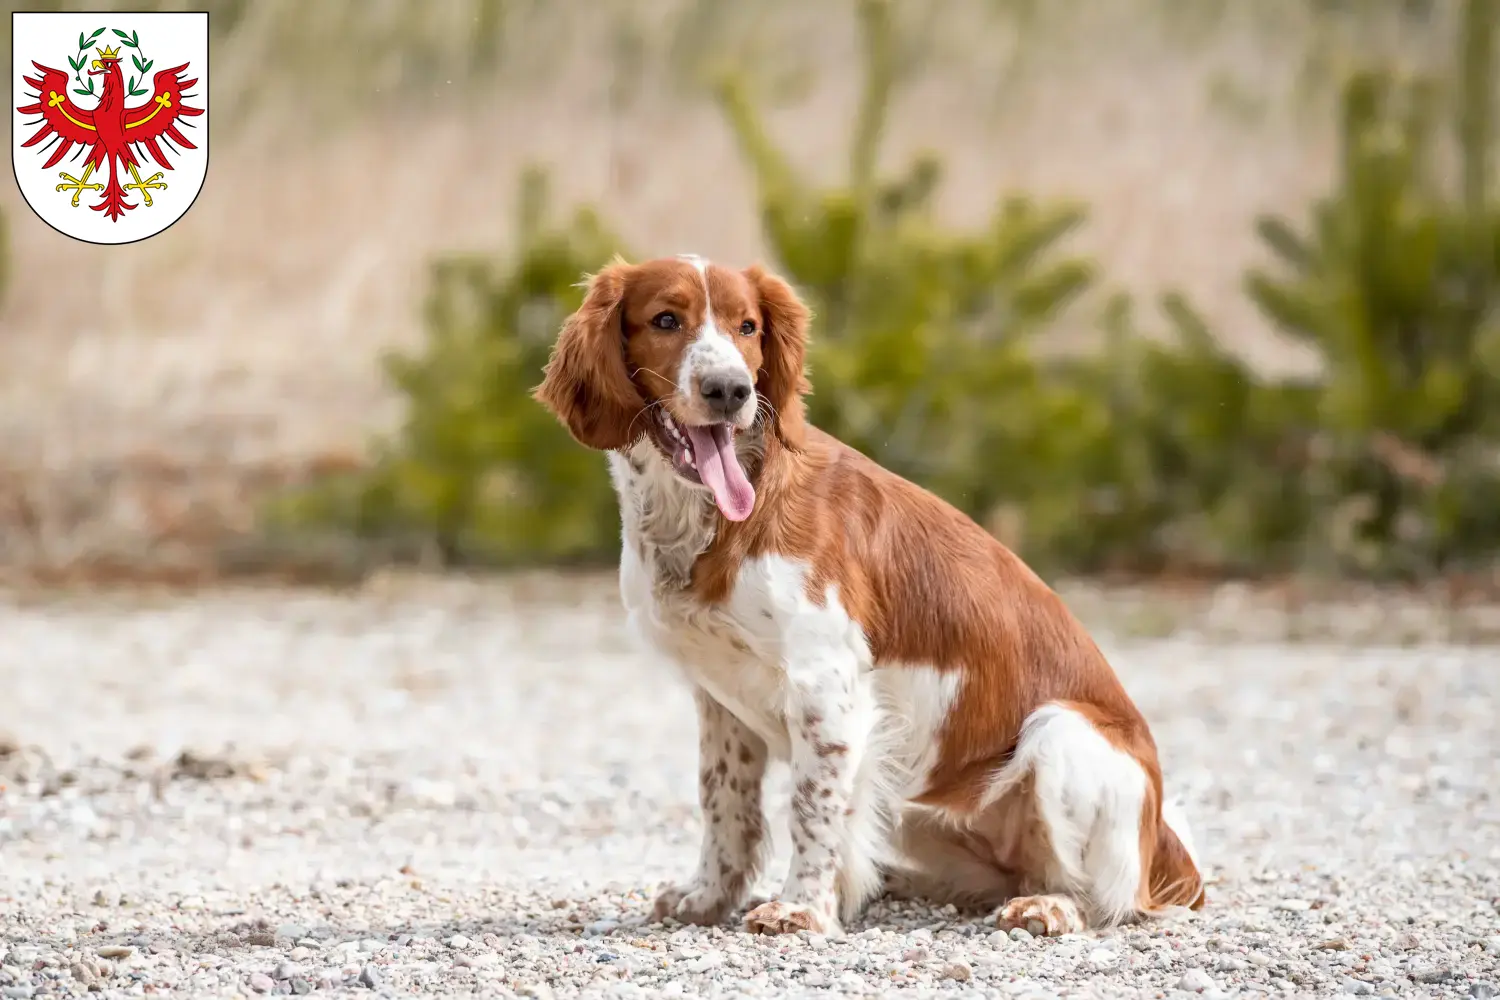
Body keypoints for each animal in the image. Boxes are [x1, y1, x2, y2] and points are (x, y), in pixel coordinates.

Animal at [534, 251, 1200, 941]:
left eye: (748, 327)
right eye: (666, 320)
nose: (731, 391)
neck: (707, 518)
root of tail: (1169, 849)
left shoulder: (826, 684)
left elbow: (810, 807)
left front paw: (801, 907)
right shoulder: (718, 697)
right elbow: (725, 802)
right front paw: (708, 897)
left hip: (1058, 732)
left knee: (1100, 895)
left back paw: (1051, 906)